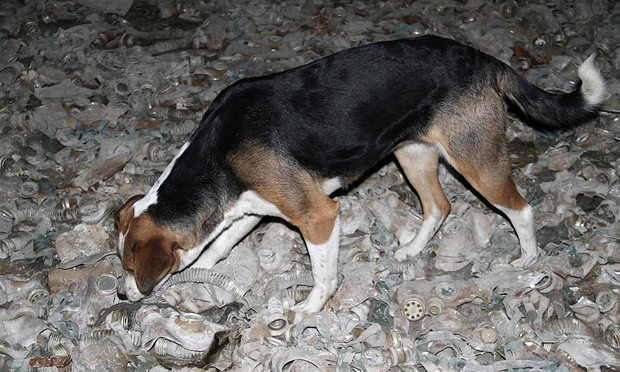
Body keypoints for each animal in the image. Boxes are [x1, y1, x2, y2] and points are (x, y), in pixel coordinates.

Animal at [115, 35, 604, 314]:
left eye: (130, 267)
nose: (120, 296)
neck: (216, 157)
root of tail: (483, 59)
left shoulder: (317, 216)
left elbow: (323, 274)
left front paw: (312, 307)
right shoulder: (251, 207)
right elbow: (218, 245)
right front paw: (207, 268)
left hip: (476, 162)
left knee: (521, 208)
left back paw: (527, 260)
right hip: (412, 154)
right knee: (439, 206)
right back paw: (411, 250)